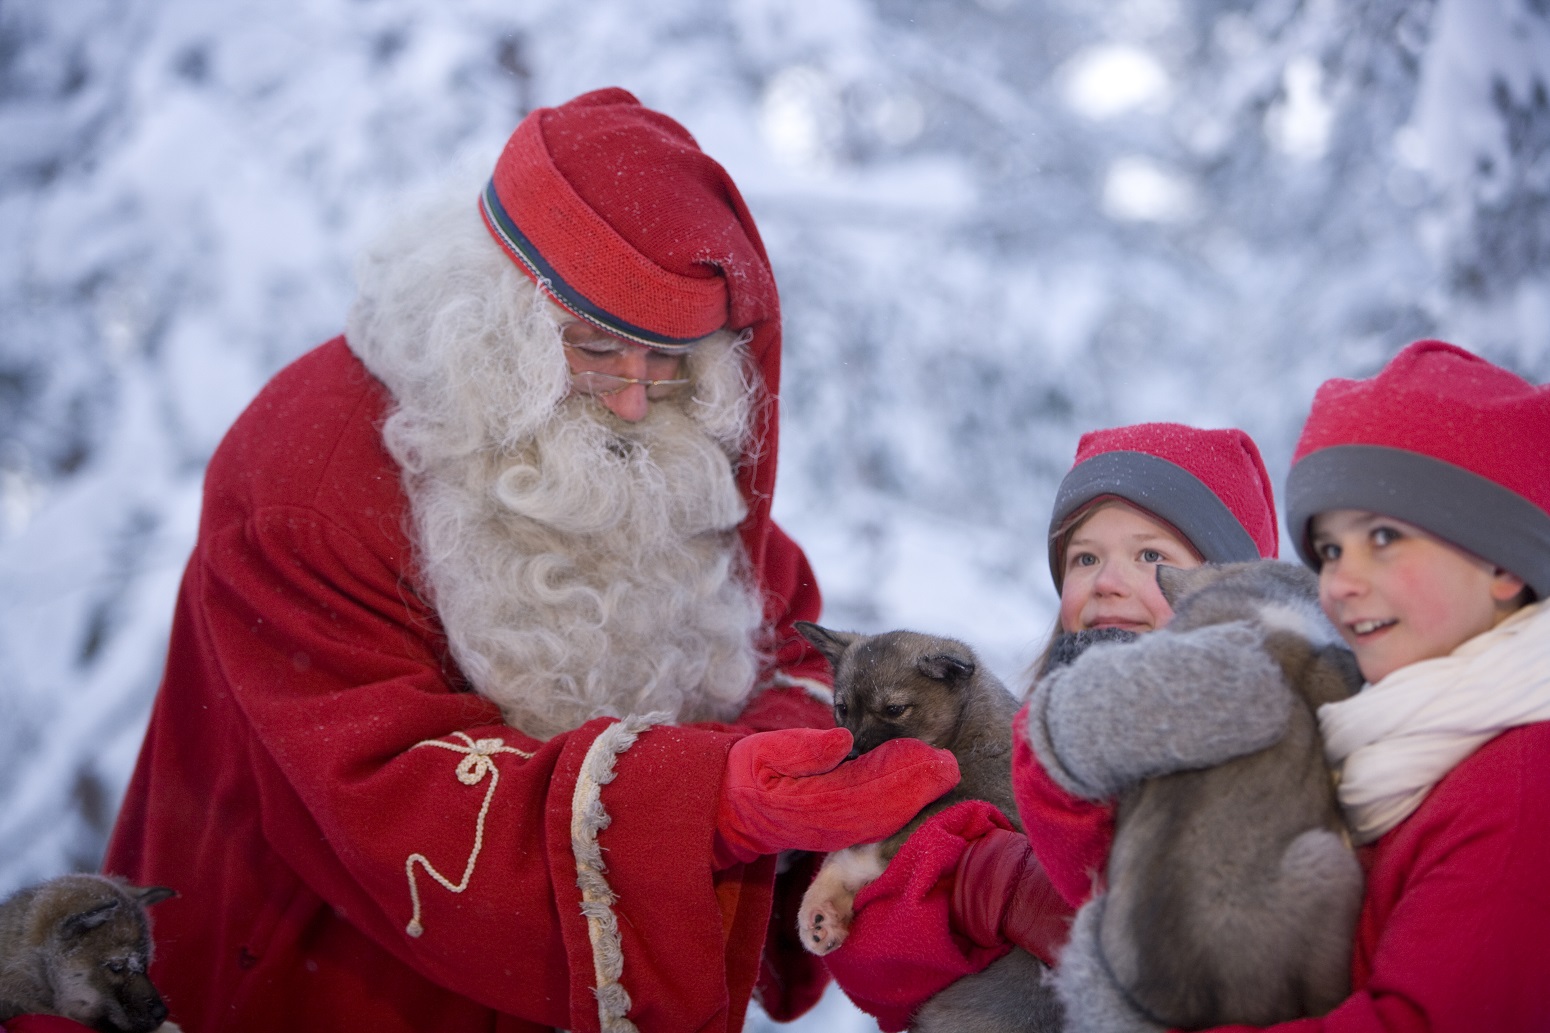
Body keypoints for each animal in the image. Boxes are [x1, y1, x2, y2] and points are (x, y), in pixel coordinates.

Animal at [793, 620, 1060, 1029]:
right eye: (842, 709)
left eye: (894, 709)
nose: (851, 756)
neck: (965, 732)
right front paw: (823, 911)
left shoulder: (994, 804)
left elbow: (875, 845)